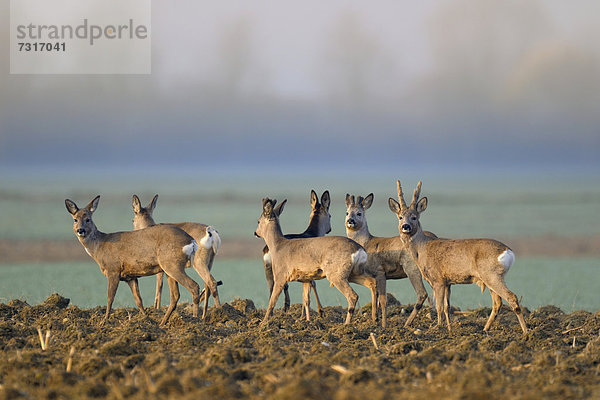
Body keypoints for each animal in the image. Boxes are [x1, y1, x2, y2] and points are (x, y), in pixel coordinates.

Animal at [65, 196, 202, 324]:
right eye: (75, 219)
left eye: (88, 219)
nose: (80, 230)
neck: (100, 247)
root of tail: (191, 241)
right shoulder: (130, 276)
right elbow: (138, 301)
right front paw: (147, 319)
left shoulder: (113, 269)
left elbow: (110, 298)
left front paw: (104, 321)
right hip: (168, 268)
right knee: (175, 295)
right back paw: (162, 323)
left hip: (172, 264)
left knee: (194, 286)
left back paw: (196, 318)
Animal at [386, 181, 528, 334]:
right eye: (400, 217)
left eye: (414, 217)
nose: (405, 226)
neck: (422, 248)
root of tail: (508, 251)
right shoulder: (448, 282)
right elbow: (447, 307)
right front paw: (449, 329)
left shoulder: (438, 279)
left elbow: (439, 307)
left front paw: (438, 327)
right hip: (490, 277)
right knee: (497, 302)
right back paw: (485, 329)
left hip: (492, 274)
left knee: (511, 297)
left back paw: (526, 332)